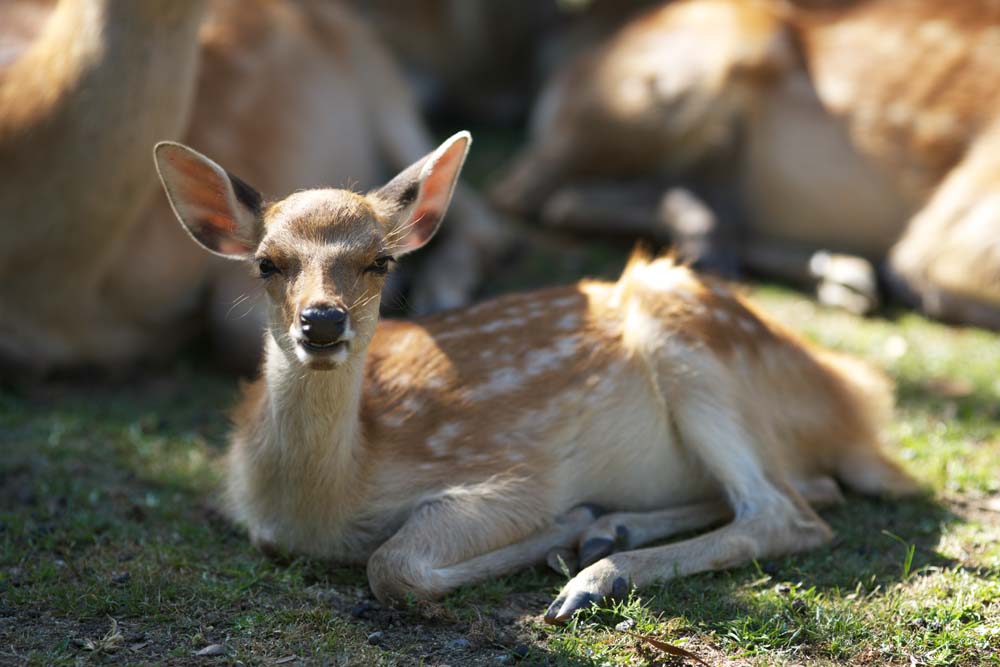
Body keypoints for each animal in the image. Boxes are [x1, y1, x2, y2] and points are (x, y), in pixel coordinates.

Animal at [152, 132, 916, 628]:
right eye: (267, 262)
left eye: (380, 261)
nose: (322, 321)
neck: (323, 499)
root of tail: (856, 402)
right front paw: (581, 526)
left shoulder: (513, 473)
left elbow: (392, 564)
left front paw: (562, 526)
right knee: (810, 489)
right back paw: (609, 531)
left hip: (690, 338)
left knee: (788, 510)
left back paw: (592, 575)